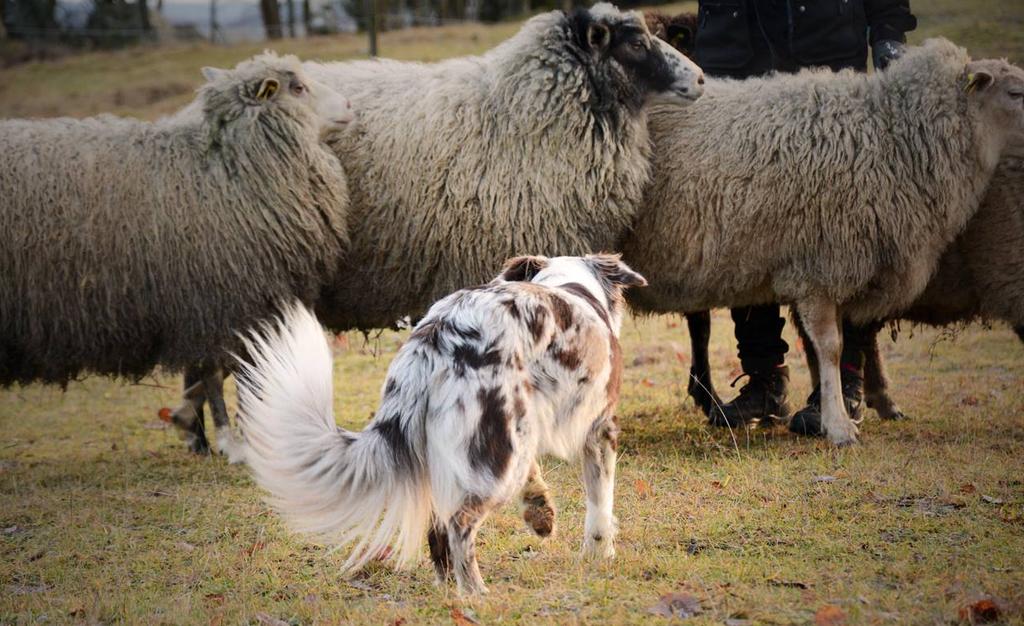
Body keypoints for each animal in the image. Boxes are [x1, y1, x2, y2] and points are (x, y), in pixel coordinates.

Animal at [0, 52, 354, 454]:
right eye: (298, 88)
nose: (349, 106)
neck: (227, 170)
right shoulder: (214, 301)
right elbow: (214, 372)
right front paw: (229, 440)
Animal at [234, 253, 643, 594]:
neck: (567, 282)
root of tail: (436, 334)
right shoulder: (599, 430)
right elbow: (600, 503)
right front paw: (600, 554)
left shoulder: (527, 426)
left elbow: (535, 476)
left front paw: (540, 513)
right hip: (494, 455)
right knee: (458, 525)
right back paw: (476, 593)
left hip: (473, 450)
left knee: (438, 529)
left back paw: (450, 589)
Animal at [618, 37, 1024, 446]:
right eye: (1016, 92)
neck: (891, 134)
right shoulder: (818, 266)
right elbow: (830, 347)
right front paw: (839, 426)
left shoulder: (843, 261)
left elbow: (840, 345)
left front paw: (831, 413)